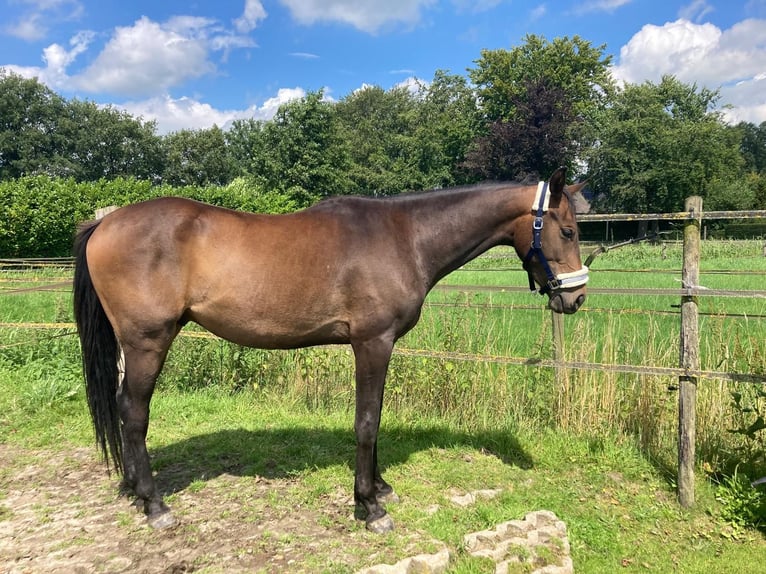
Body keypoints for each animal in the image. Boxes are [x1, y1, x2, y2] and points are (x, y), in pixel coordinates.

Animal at [73, 166, 588, 536]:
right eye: (567, 231)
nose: (577, 297)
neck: (405, 237)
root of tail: (105, 222)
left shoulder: (378, 347)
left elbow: (374, 417)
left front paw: (380, 487)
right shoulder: (372, 343)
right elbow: (367, 422)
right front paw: (369, 506)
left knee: (123, 410)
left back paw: (133, 489)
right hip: (147, 342)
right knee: (133, 412)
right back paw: (154, 504)